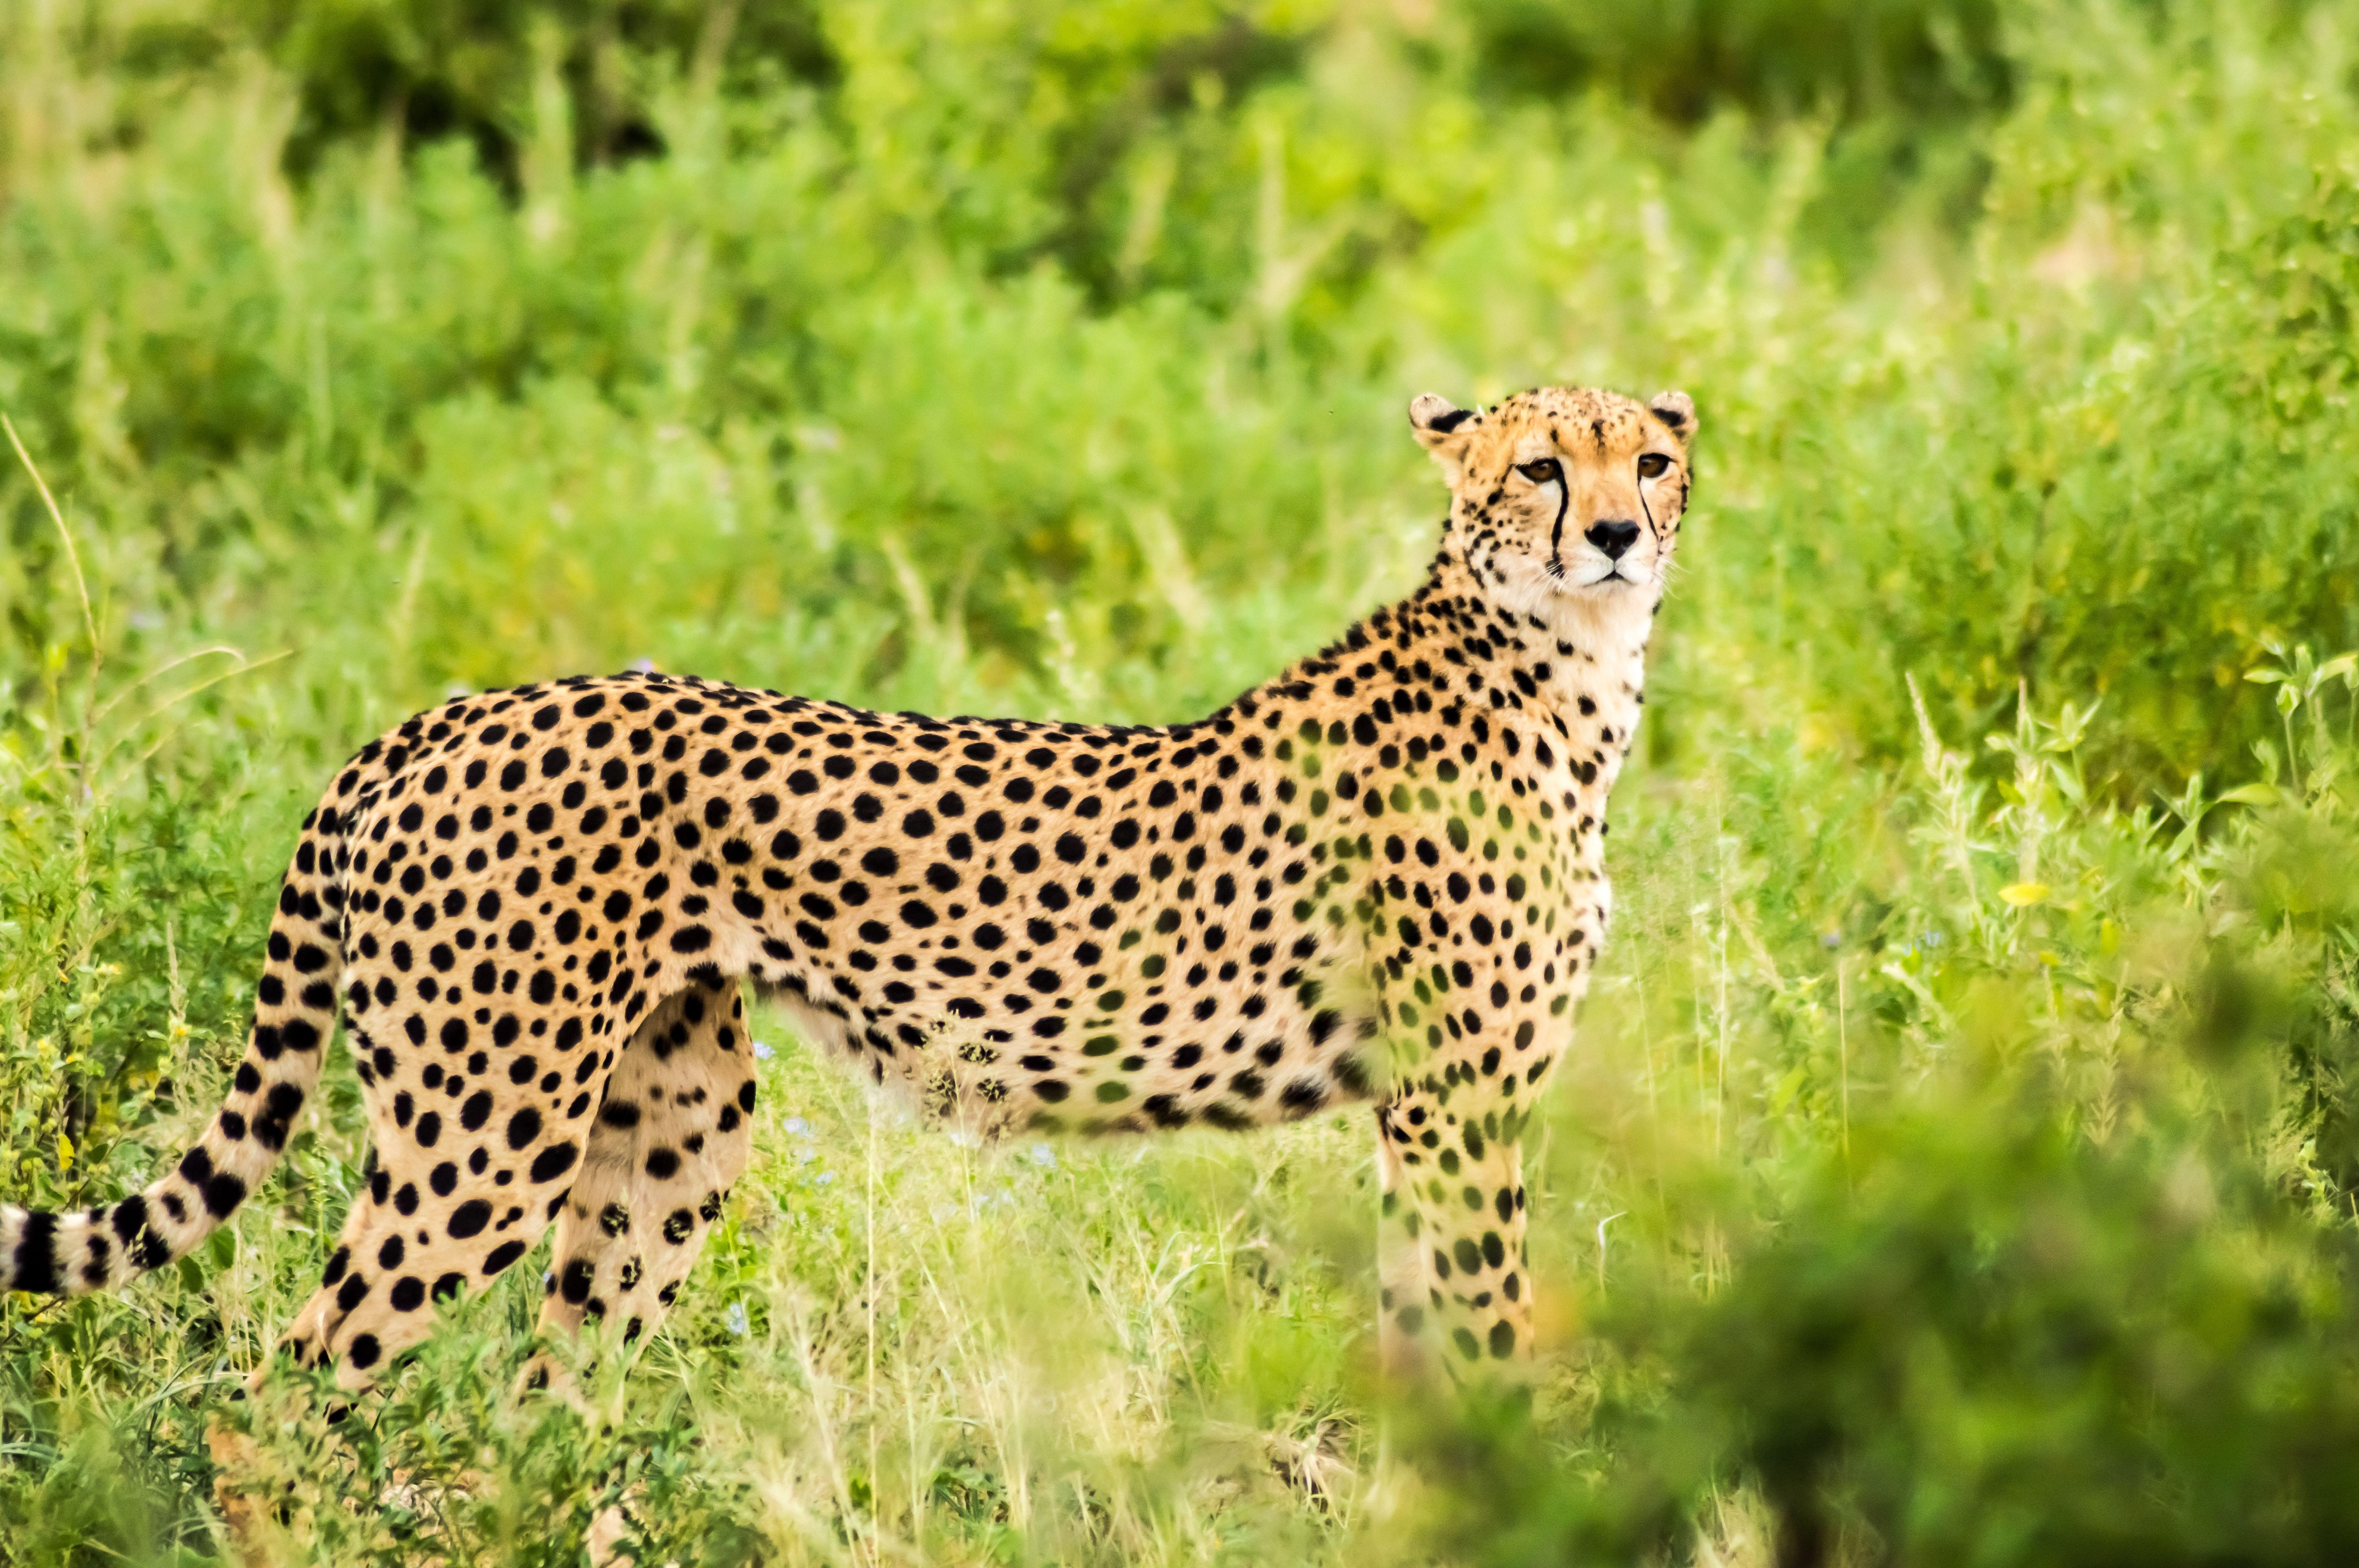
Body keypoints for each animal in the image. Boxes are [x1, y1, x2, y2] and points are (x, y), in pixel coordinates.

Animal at [0, 382, 1698, 1386]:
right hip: (484, 1126)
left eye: (1651, 458)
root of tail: (447, 712)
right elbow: (1487, 1328)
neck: (1562, 666)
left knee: (556, 1388)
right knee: (309, 1370)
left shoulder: (1428, 1107)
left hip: (672, 1128)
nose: (1619, 533)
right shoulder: (1459, 1101)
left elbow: (1424, 1336)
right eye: (1540, 466)